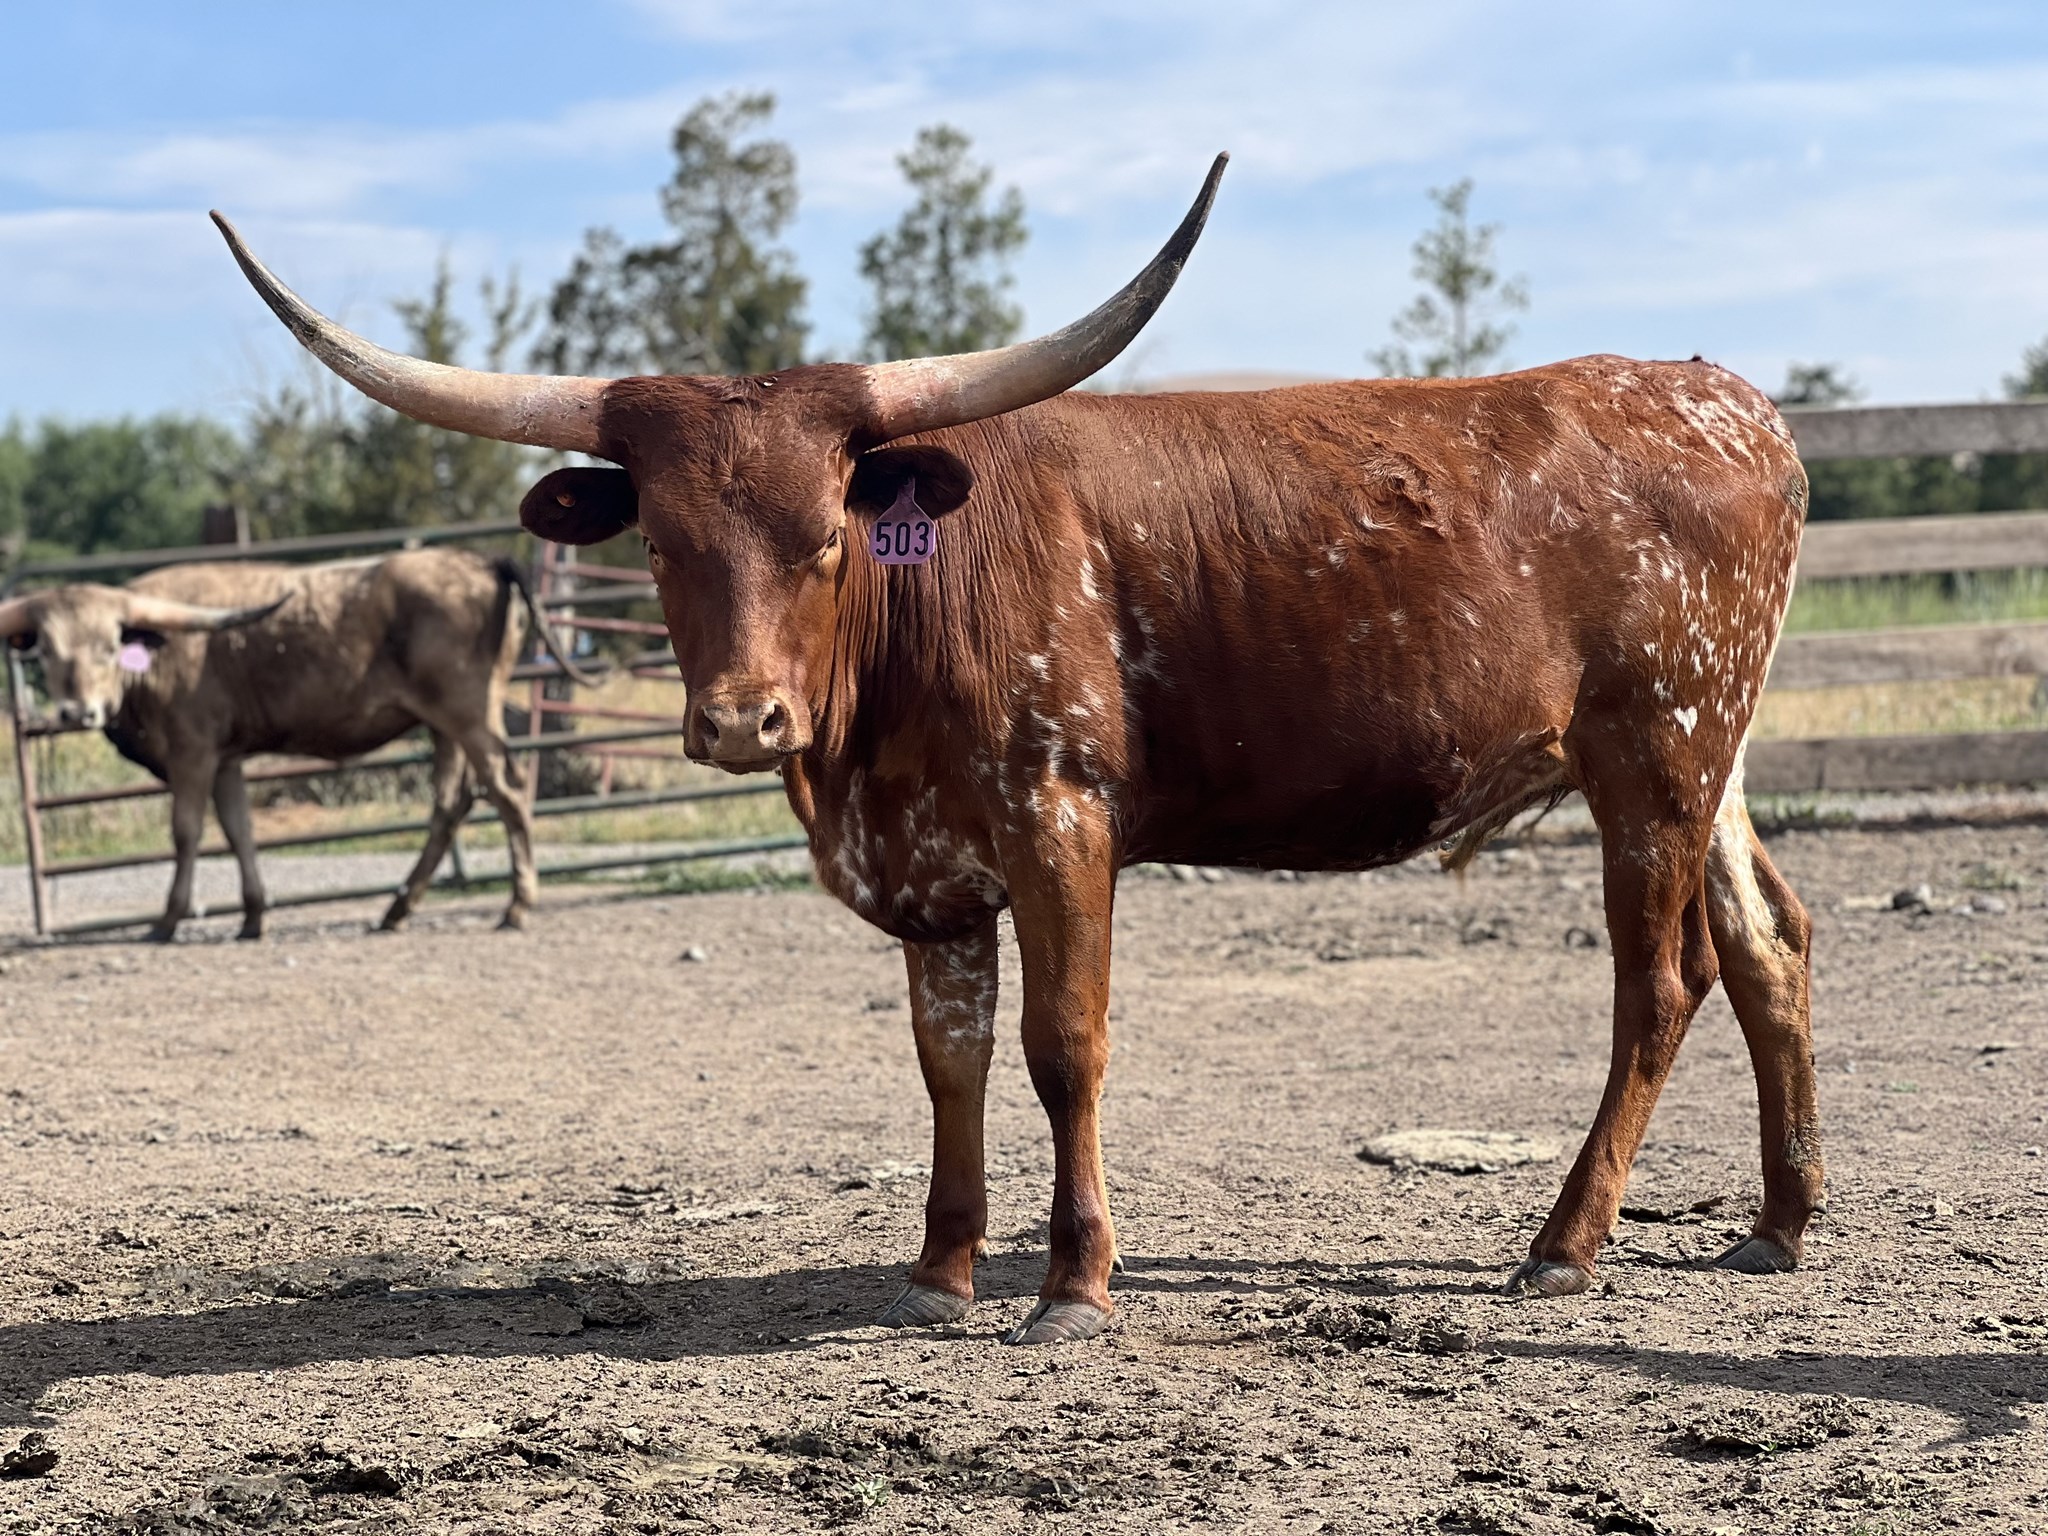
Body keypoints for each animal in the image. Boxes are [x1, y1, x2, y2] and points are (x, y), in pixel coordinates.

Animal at [0, 549, 597, 939]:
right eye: (45, 651)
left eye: (109, 646)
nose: (77, 712)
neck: (161, 654)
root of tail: (478, 561)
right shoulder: (225, 760)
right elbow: (239, 831)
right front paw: (253, 916)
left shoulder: (193, 753)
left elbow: (187, 833)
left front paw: (168, 920)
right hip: (443, 727)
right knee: (451, 805)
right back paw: (397, 910)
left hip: (470, 715)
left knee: (508, 791)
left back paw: (517, 905)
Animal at [212, 153, 1821, 1344]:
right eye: (659, 546)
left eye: (825, 533)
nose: (740, 720)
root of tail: (1729, 402)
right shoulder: (931, 870)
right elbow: (950, 1059)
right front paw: (939, 1269)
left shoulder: (1061, 819)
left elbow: (1063, 1045)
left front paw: (1073, 1280)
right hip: (1713, 760)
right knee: (1769, 944)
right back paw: (1780, 1222)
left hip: (1653, 760)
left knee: (1659, 983)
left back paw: (1564, 1242)